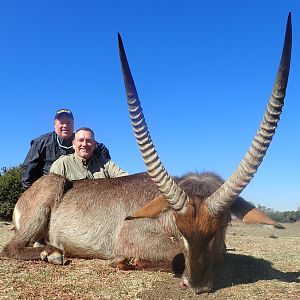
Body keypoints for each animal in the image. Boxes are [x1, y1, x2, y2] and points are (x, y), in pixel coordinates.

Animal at [0, 12, 290, 294]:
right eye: (180, 228)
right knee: (10, 247)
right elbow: (172, 256)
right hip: (53, 185)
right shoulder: (132, 238)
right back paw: (52, 253)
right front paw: (127, 261)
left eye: (220, 227)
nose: (196, 285)